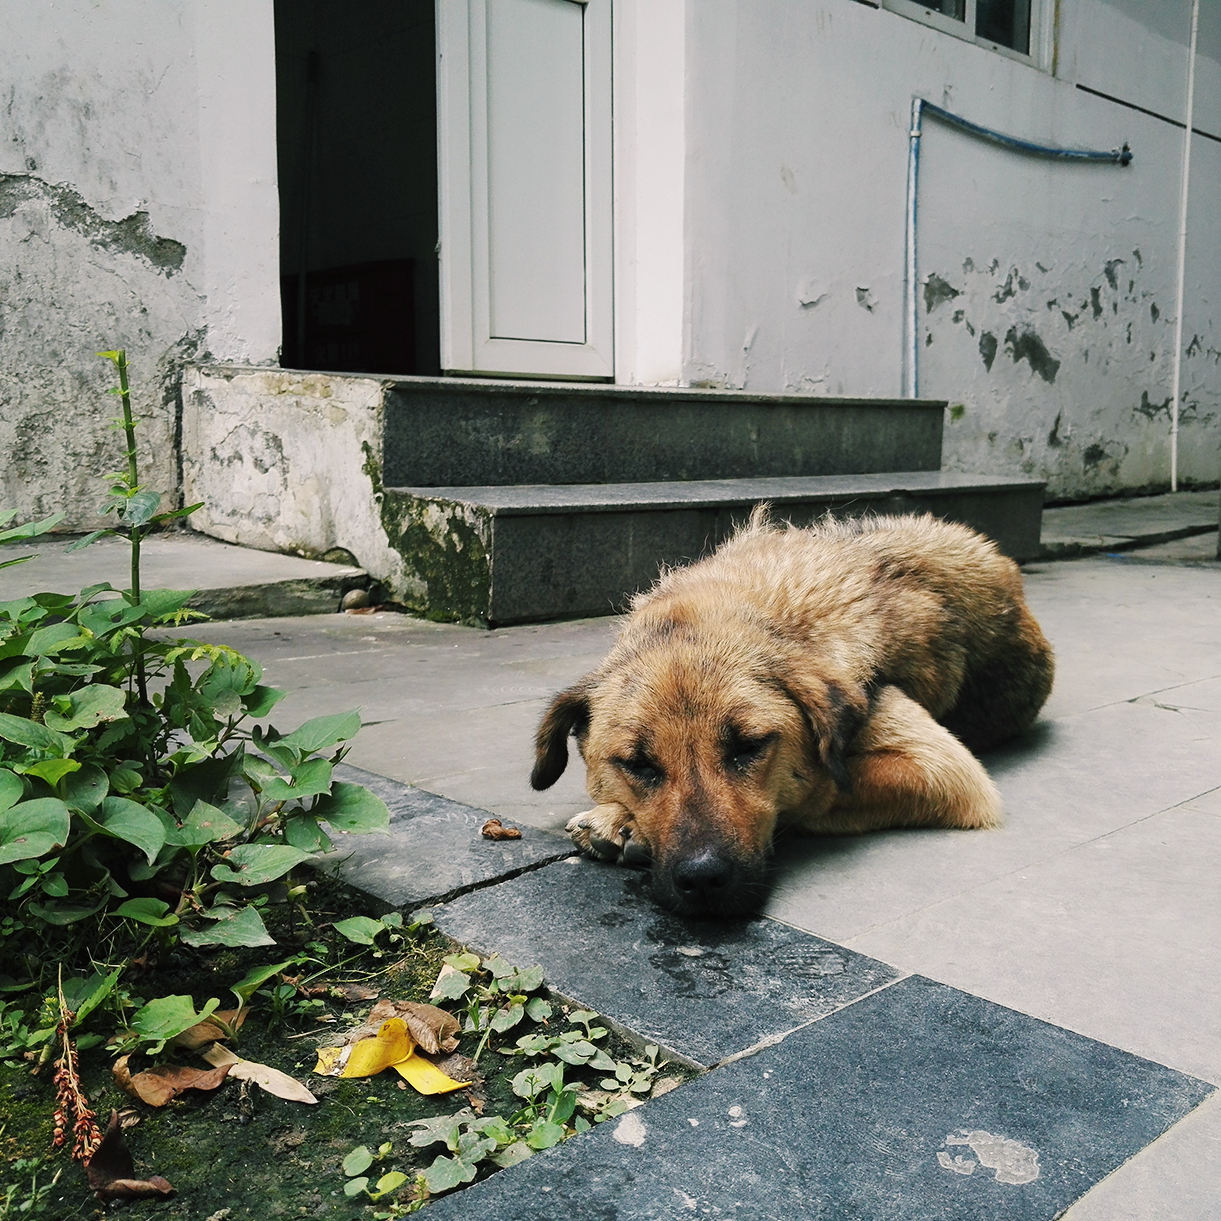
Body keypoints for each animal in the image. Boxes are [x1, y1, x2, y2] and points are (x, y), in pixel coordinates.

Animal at [529, 507, 1054, 918]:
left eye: (749, 747)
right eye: (637, 764)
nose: (702, 881)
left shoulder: (944, 770)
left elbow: (822, 789)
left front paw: (626, 825)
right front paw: (619, 817)